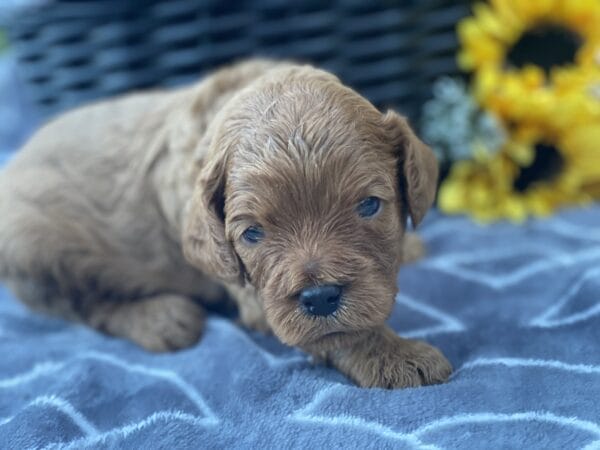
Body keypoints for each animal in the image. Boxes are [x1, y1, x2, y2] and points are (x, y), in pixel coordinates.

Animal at [0, 59, 450, 388]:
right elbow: (338, 333)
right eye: (252, 234)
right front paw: (398, 357)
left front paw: (409, 247)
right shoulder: (257, 294)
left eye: (369, 206)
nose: (321, 297)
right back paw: (162, 319)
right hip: (36, 252)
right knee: (80, 304)